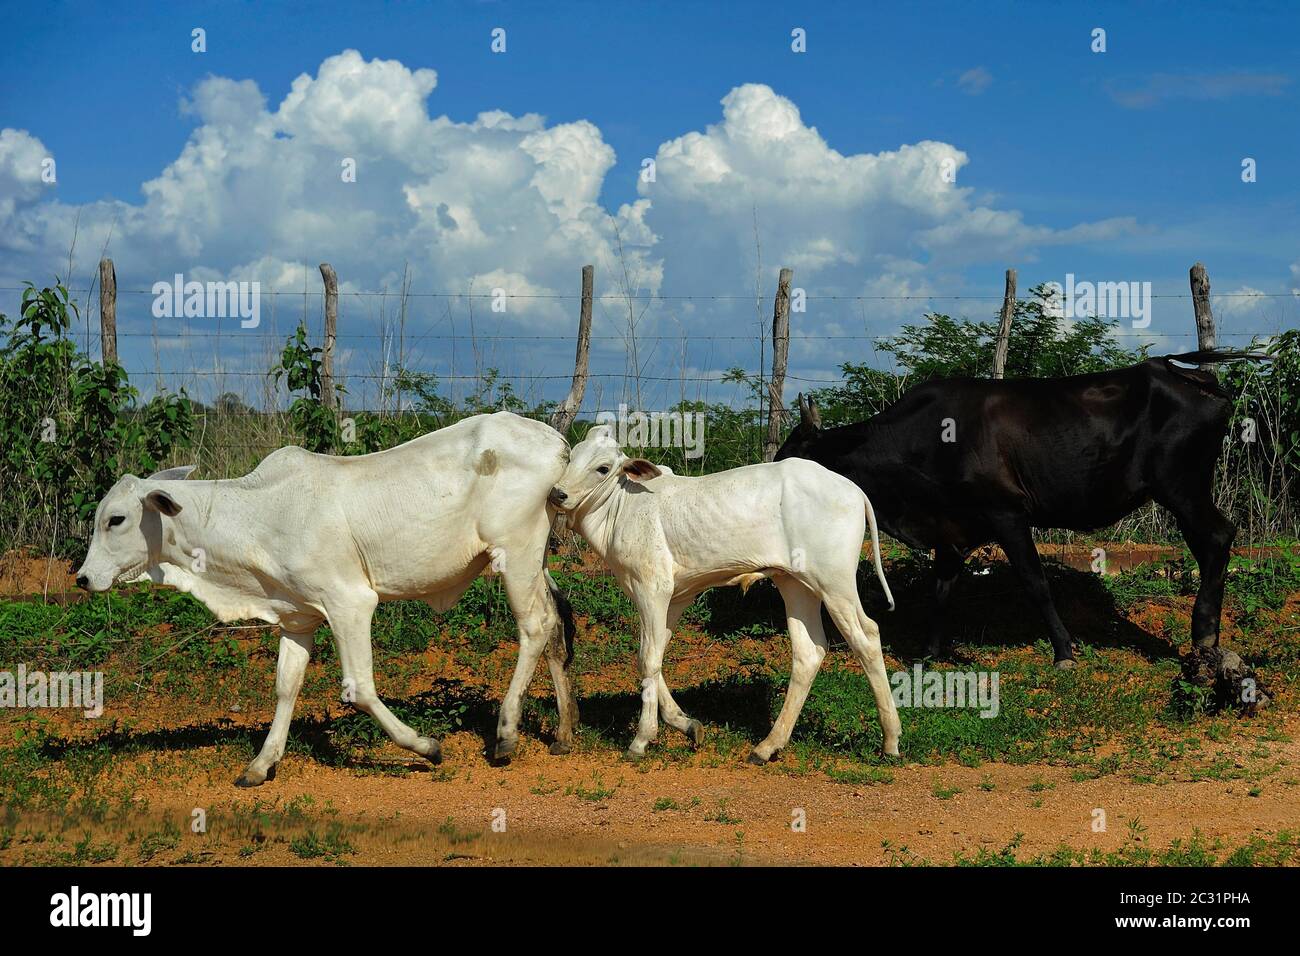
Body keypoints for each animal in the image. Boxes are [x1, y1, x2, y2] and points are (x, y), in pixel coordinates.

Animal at [74, 411, 574, 785]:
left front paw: (426, 747)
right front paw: (261, 764)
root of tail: (556, 441)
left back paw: (506, 734)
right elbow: (285, 687)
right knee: (556, 625)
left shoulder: (349, 603)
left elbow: (361, 688)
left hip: (516, 553)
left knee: (534, 627)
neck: (255, 519)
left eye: (116, 519)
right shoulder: (297, 618)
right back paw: (564, 733)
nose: (82, 578)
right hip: (536, 561)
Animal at [543, 426, 899, 764]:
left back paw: (891, 741)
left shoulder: (653, 588)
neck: (622, 506)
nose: (558, 494)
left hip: (835, 584)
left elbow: (648, 658)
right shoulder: (673, 597)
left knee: (867, 637)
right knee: (808, 652)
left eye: (603, 468)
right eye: (572, 456)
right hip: (796, 583)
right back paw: (768, 746)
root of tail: (852, 489)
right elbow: (652, 655)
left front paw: (642, 738)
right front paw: (685, 724)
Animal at [769, 348, 1258, 665]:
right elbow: (940, 590)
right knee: (1209, 546)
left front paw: (1064, 651)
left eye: (794, 457)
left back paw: (1204, 635)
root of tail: (1185, 374)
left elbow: (1035, 582)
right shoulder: (950, 529)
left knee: (1218, 538)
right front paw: (928, 652)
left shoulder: (1006, 514)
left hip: (1182, 488)